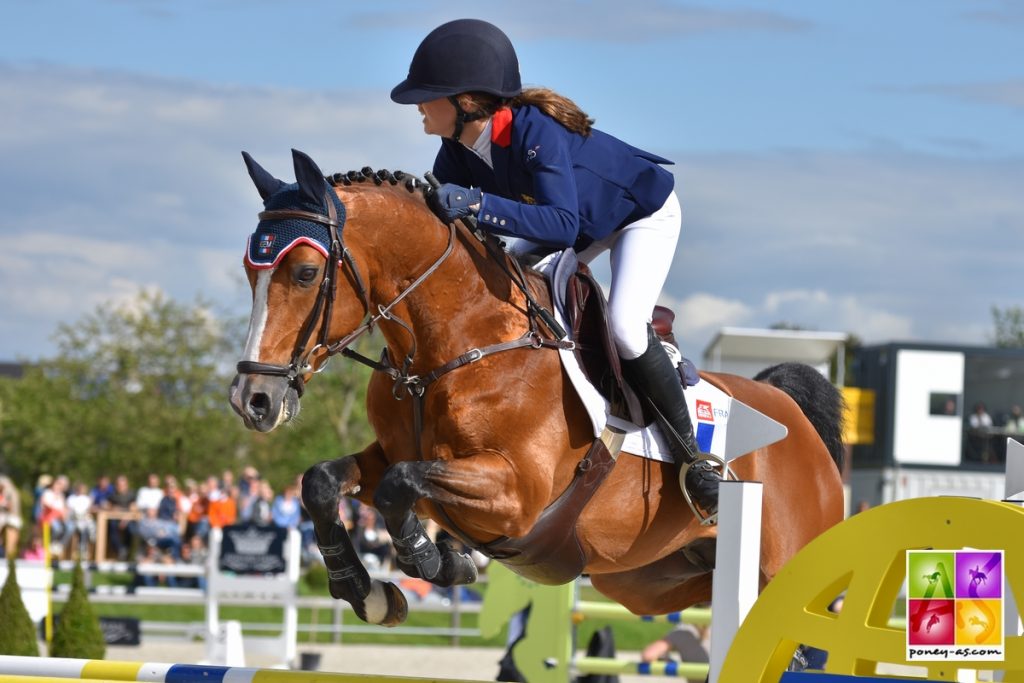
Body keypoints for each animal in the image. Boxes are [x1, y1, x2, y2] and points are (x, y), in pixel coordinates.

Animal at [228, 150, 843, 630]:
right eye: (249, 271)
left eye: (306, 273)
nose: (251, 400)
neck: (450, 349)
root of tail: (792, 414)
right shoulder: (393, 455)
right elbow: (323, 481)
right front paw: (369, 591)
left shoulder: (515, 492)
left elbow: (401, 485)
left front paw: (431, 560)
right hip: (650, 580)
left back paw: (708, 482)